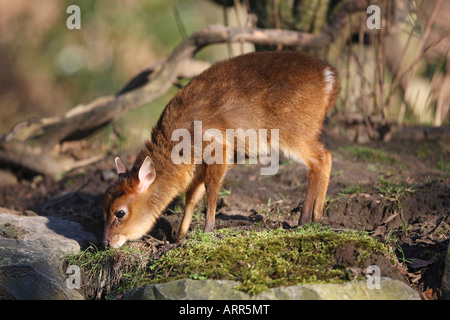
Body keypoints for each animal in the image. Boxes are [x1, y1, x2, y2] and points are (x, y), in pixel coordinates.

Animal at [103, 51, 340, 249]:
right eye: (103, 207)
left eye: (120, 212)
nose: (106, 243)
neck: (175, 147)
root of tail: (330, 77)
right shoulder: (195, 170)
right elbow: (191, 199)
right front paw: (179, 237)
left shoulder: (218, 150)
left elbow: (211, 190)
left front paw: (207, 230)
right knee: (326, 156)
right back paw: (317, 218)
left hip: (293, 132)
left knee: (320, 158)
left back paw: (303, 219)